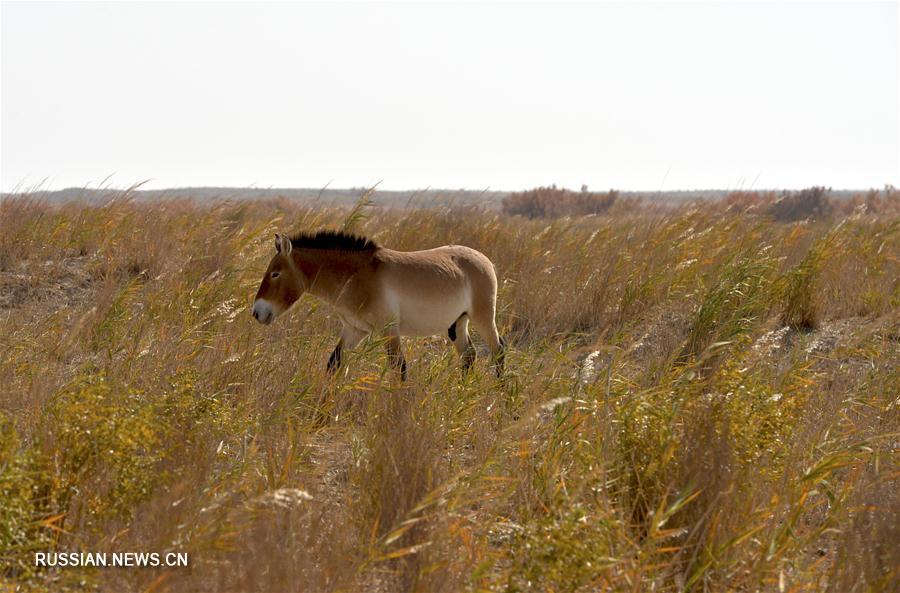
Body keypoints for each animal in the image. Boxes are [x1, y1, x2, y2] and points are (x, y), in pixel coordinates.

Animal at [253, 231, 506, 380]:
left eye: (275, 273)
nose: (257, 312)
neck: (357, 276)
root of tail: (485, 260)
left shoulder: (389, 330)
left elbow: (399, 368)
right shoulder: (354, 329)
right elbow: (334, 364)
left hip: (483, 318)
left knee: (498, 350)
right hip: (458, 322)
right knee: (469, 355)